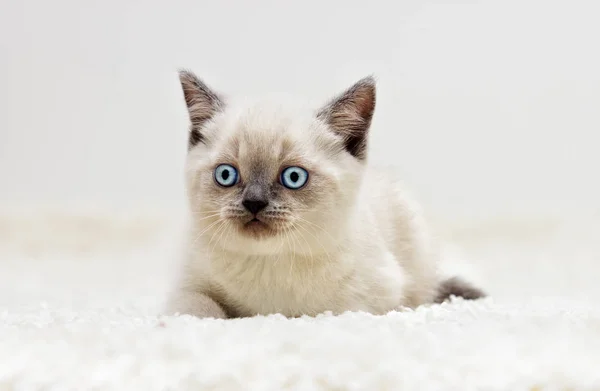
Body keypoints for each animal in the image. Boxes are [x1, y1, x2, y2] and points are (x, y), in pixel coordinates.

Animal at [166, 70, 486, 320]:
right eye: (226, 175)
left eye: (293, 177)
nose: (254, 202)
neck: (269, 263)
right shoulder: (187, 287)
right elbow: (200, 311)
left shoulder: (371, 297)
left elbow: (332, 309)